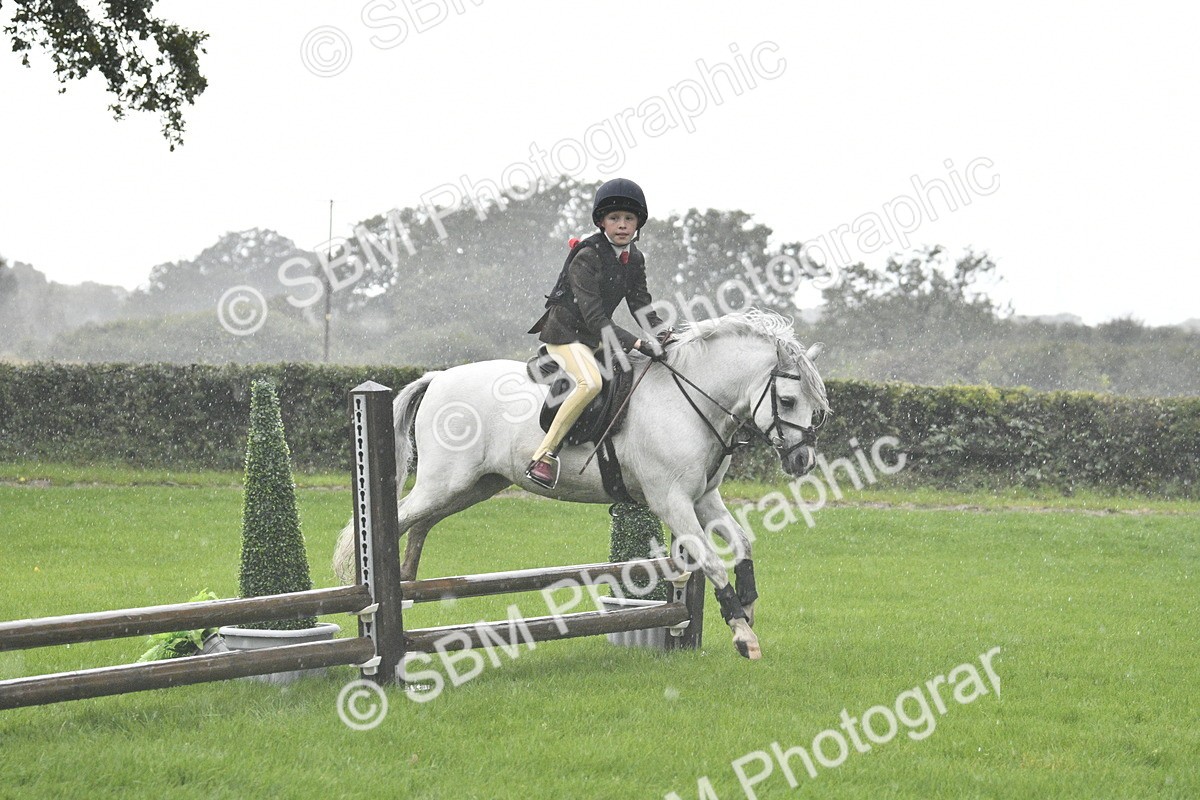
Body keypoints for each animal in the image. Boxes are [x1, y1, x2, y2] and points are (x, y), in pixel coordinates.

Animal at [333, 308, 830, 659]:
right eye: (788, 400)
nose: (802, 461)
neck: (688, 397)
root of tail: (438, 378)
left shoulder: (703, 498)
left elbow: (742, 545)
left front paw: (746, 608)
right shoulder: (671, 501)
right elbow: (710, 561)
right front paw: (743, 635)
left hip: (474, 486)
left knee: (418, 524)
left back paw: (406, 584)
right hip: (445, 483)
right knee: (386, 524)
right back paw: (367, 597)